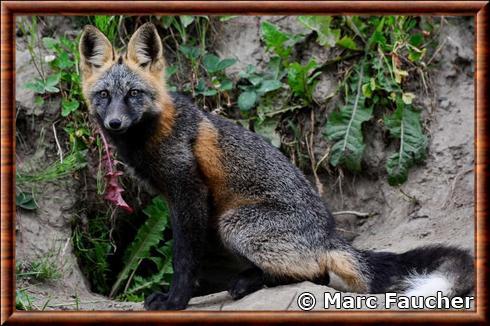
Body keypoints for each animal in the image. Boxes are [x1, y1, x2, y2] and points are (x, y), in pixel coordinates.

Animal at [79, 23, 474, 310]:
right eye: (104, 95)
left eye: (133, 94)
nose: (114, 123)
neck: (154, 132)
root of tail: (328, 235)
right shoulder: (175, 199)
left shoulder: (189, 193)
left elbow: (185, 259)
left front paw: (176, 301)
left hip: (233, 224)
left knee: (316, 274)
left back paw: (249, 282)